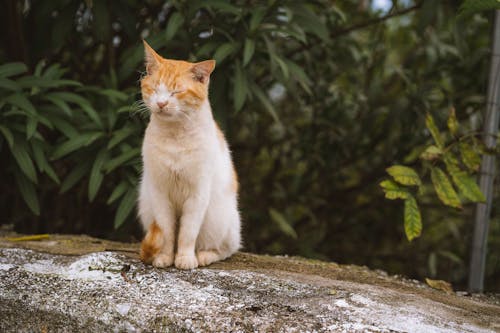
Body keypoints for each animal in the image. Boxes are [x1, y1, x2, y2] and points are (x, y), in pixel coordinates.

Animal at [138, 40, 241, 270]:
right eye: (155, 88)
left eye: (176, 91)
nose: (161, 103)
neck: (175, 136)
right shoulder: (160, 193)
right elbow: (167, 232)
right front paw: (165, 257)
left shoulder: (197, 194)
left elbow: (187, 232)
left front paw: (185, 258)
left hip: (218, 220)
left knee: (226, 249)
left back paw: (204, 256)